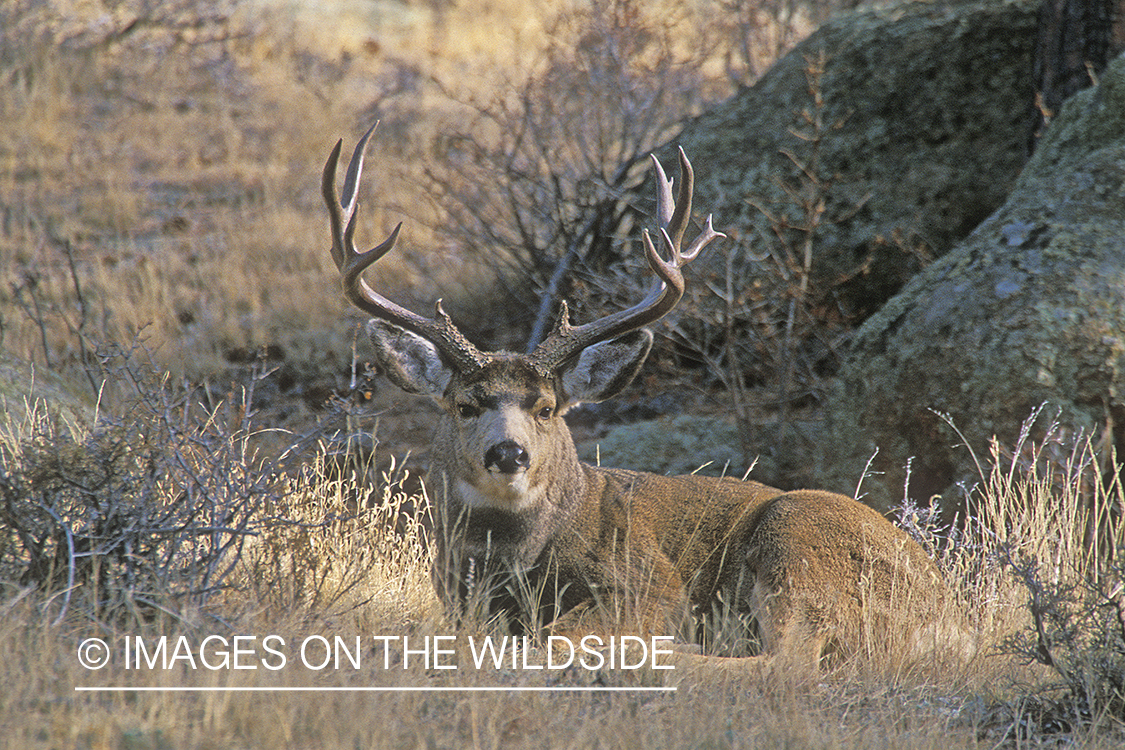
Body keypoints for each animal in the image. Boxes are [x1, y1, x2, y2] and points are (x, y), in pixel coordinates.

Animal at [323, 123, 971, 675]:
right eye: (465, 404)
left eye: (546, 408)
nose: (508, 454)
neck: (515, 563)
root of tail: (949, 618)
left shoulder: (651, 583)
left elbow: (554, 634)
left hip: (796, 545)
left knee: (787, 663)